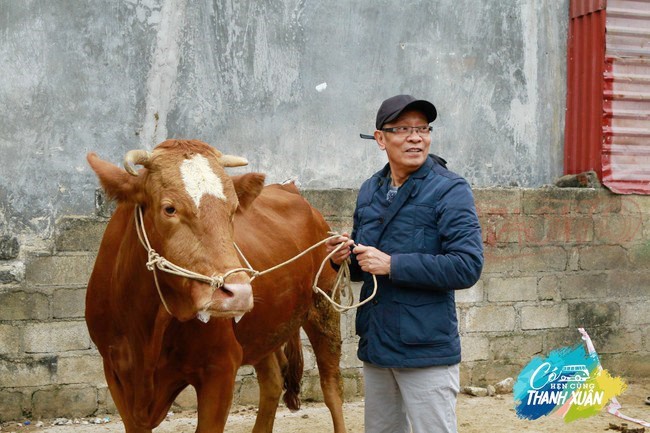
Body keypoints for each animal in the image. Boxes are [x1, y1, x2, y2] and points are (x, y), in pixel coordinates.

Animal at [90, 139, 350, 432]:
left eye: (234, 210)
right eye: (169, 208)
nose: (238, 293)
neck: (145, 330)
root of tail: (290, 190)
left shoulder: (221, 366)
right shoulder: (115, 373)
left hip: (324, 307)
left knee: (331, 387)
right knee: (272, 380)